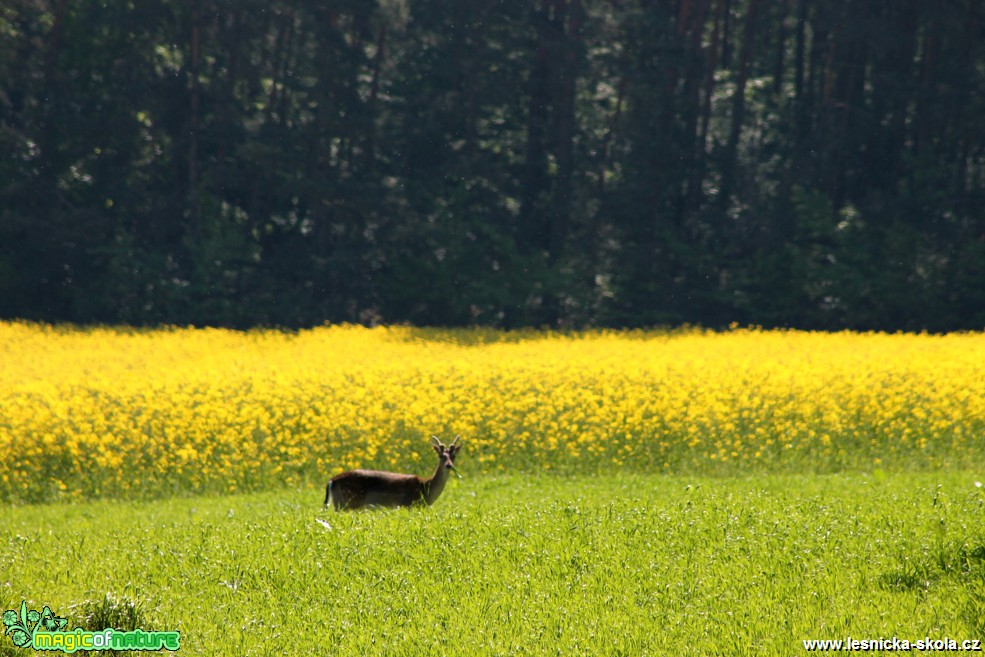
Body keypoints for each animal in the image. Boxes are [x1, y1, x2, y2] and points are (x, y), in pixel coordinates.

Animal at [322, 436, 462, 512]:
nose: (448, 465)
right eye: (440, 456)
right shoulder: (409, 504)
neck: (426, 489)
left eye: (454, 455)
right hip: (345, 503)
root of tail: (331, 481)